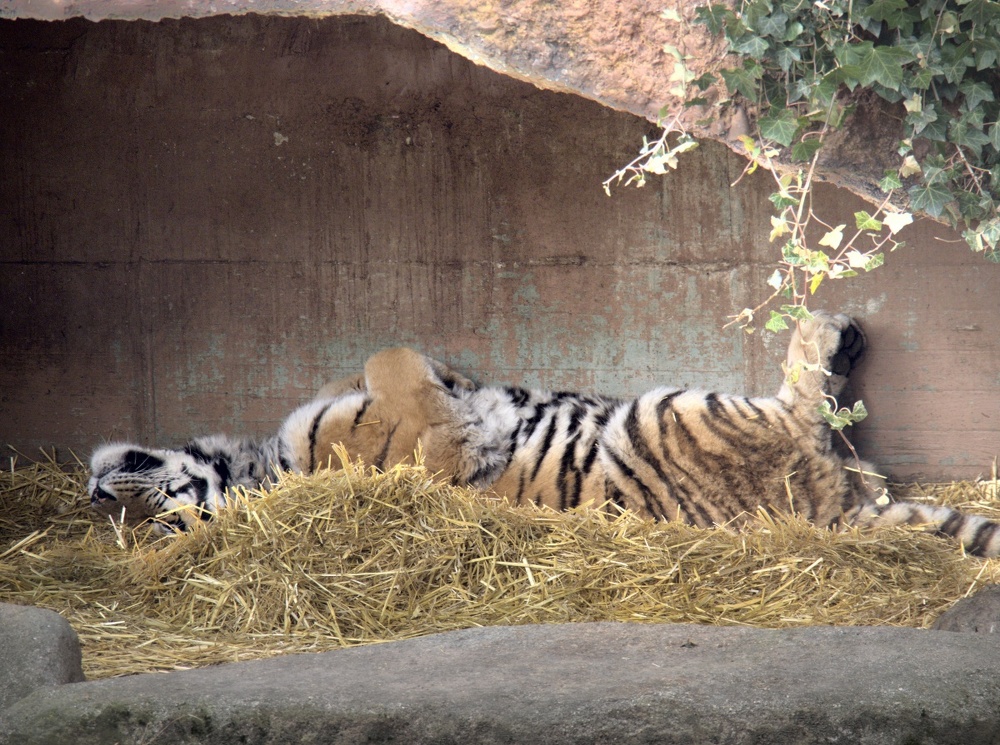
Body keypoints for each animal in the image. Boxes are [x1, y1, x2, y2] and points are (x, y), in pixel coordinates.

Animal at [84, 310, 1000, 560]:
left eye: (155, 510)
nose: (95, 493)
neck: (264, 465)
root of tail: (843, 509)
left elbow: (392, 360)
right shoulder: (437, 438)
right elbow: (402, 370)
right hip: (672, 410)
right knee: (804, 405)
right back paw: (831, 330)